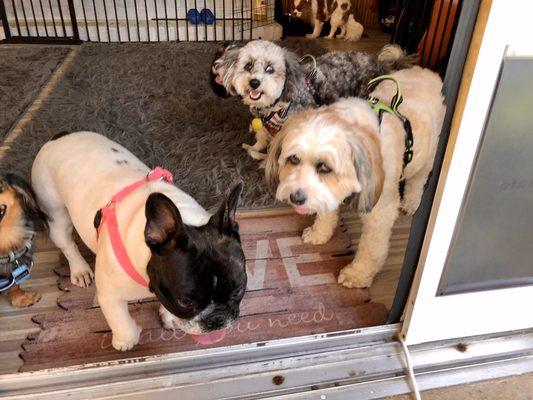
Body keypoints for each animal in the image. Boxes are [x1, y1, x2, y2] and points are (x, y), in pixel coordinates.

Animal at [210, 40, 414, 159]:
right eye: (248, 65)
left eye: (270, 69)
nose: (254, 83)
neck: (277, 105)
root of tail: (380, 64)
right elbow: (261, 137)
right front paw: (255, 147)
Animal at [266, 67, 444, 290]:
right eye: (294, 159)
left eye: (325, 167)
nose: (296, 198)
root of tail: (427, 72)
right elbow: (327, 212)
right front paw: (319, 233)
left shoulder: (380, 212)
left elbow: (371, 249)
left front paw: (357, 274)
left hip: (426, 157)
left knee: (417, 181)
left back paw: (411, 202)